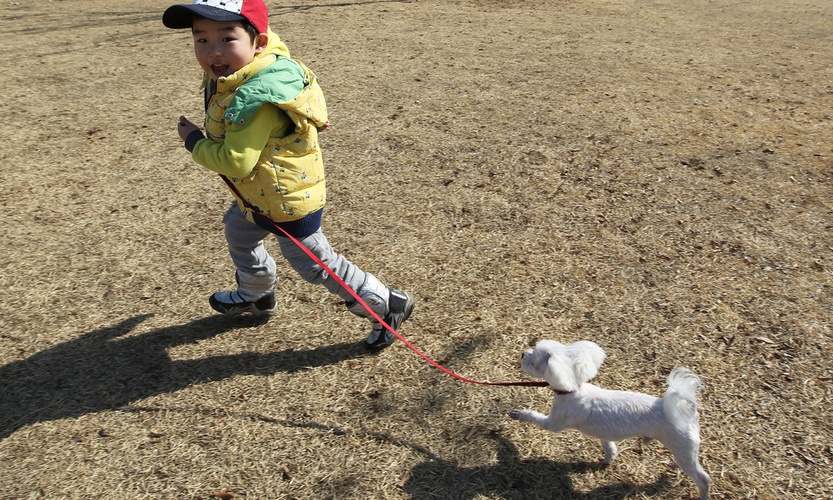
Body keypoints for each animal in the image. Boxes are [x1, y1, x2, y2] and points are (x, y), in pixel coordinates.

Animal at [508, 340, 708, 500]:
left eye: (533, 361)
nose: (522, 354)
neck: (573, 390)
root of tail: (685, 410)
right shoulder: (604, 433)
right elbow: (609, 446)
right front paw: (608, 458)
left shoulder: (554, 423)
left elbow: (535, 418)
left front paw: (519, 414)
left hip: (683, 449)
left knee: (703, 478)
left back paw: (703, 494)